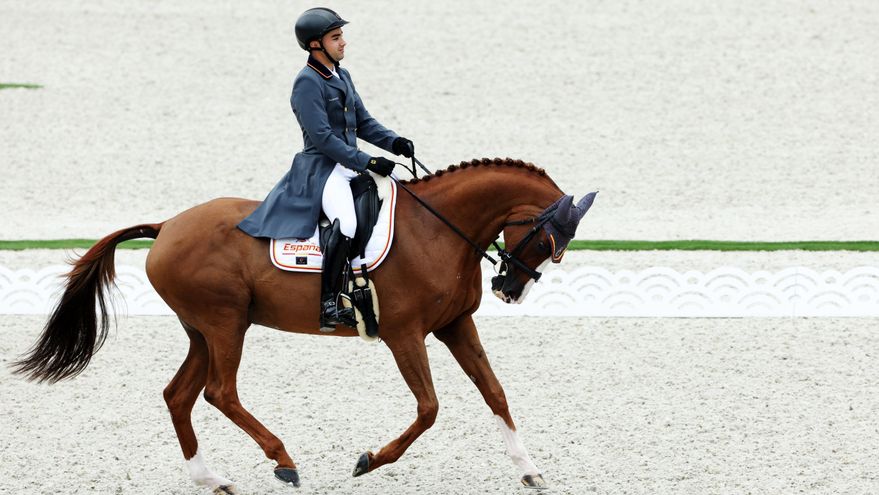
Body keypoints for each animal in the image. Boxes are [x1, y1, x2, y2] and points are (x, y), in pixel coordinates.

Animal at [12, 158, 592, 492]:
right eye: (548, 239)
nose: (509, 290)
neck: (437, 230)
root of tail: (168, 225)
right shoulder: (405, 335)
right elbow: (429, 409)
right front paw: (368, 461)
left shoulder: (455, 326)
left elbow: (495, 392)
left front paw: (529, 469)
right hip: (225, 325)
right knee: (220, 392)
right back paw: (283, 460)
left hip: (205, 330)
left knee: (179, 395)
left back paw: (212, 478)